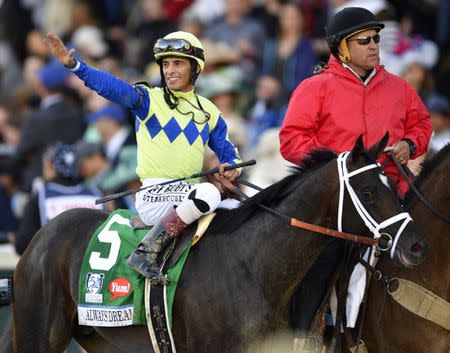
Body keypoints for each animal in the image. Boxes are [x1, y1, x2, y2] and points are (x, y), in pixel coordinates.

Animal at [6, 135, 428, 352]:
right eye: (369, 192)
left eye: (393, 184)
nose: (417, 245)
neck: (253, 266)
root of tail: (42, 236)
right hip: (38, 334)